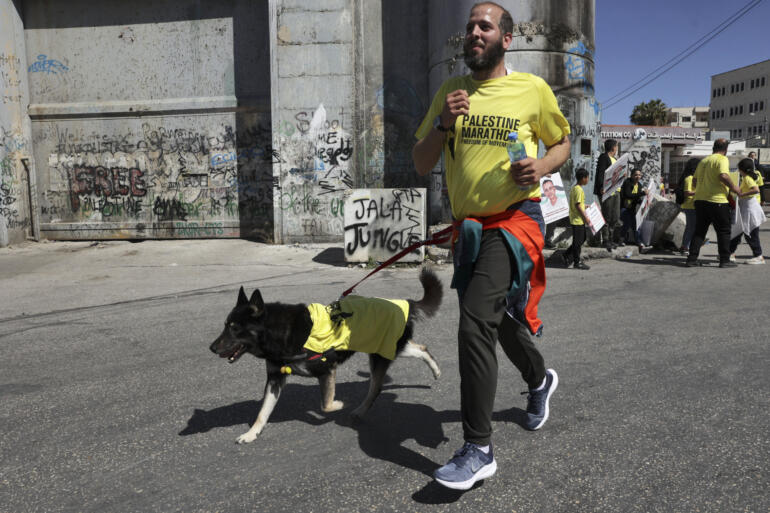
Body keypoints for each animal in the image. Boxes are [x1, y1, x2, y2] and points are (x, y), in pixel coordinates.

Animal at [208, 268, 444, 440]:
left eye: (235, 328)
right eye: (225, 325)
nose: (212, 348)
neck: (279, 331)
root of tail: (404, 303)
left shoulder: (326, 370)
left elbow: (327, 405)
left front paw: (340, 404)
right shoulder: (275, 378)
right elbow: (262, 412)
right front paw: (251, 434)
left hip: (382, 352)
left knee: (376, 388)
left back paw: (360, 410)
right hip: (388, 348)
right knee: (421, 349)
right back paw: (435, 370)